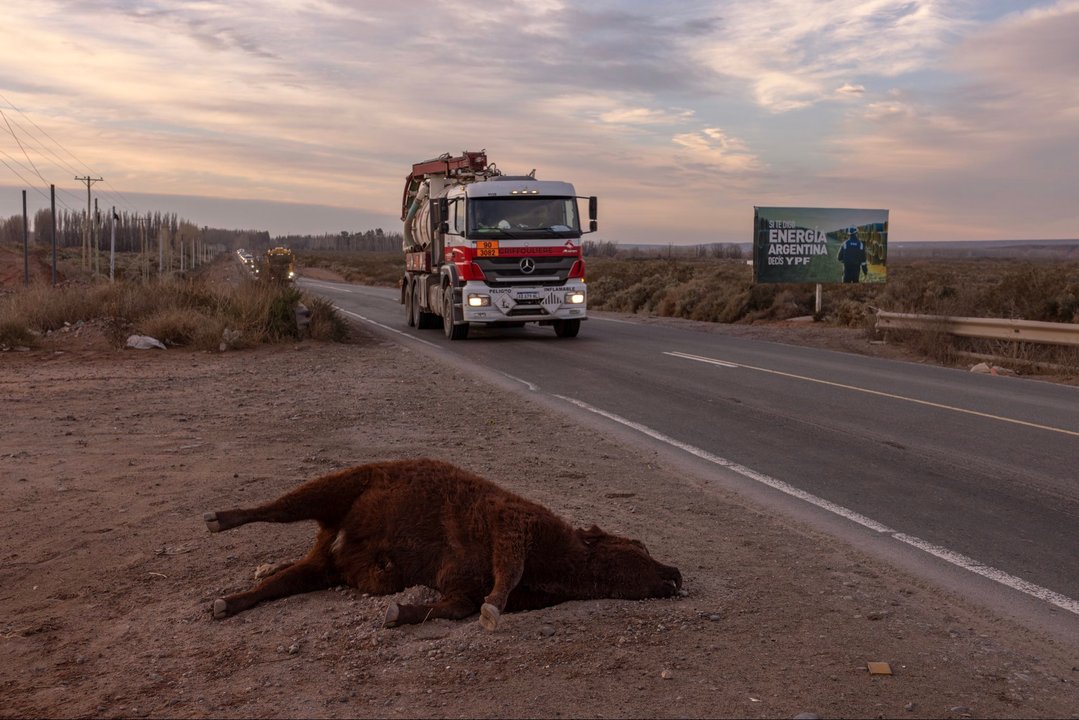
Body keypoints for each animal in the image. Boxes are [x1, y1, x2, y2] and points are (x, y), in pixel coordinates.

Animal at [203, 458, 682, 630]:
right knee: (277, 508)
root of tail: (334, 541)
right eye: (639, 547)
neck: (562, 564)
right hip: (338, 487)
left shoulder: (461, 586)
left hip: (323, 568)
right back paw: (217, 520)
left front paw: (399, 612)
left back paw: (229, 601)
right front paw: (493, 612)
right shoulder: (514, 524)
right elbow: (506, 574)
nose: (676, 574)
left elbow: (454, 608)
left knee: (281, 581)